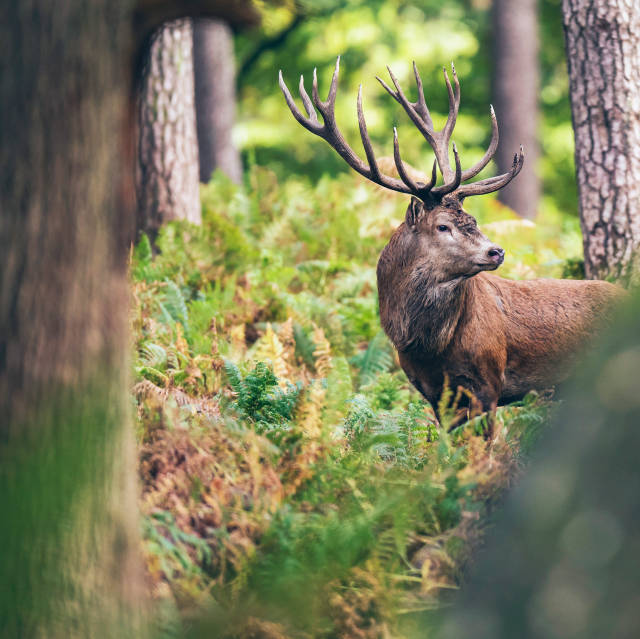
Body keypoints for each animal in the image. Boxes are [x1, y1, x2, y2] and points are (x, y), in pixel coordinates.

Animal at [278, 57, 620, 436]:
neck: (431, 348)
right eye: (443, 225)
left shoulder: (489, 382)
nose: (497, 251)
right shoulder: (433, 393)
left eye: (474, 219)